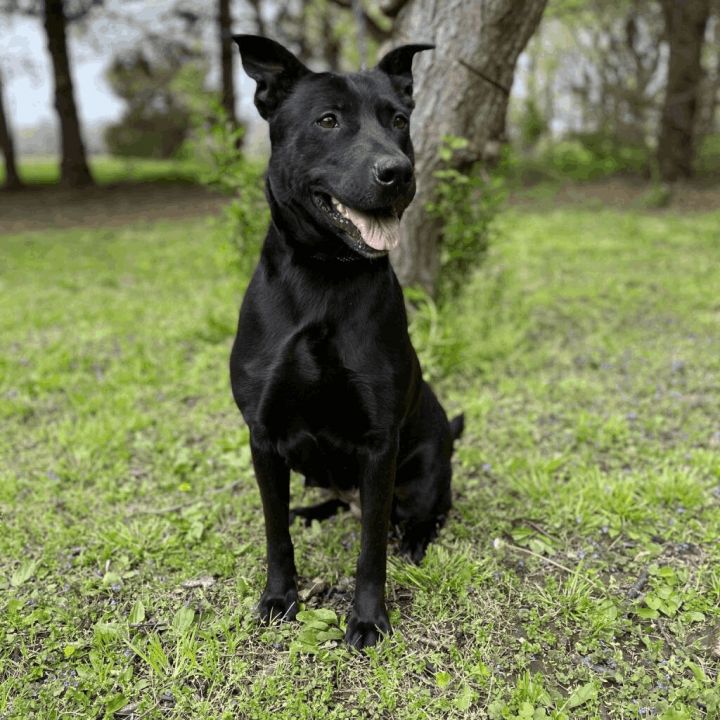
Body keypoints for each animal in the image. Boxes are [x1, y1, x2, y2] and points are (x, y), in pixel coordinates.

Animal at [232, 36, 466, 648]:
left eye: (400, 121)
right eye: (328, 120)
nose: (397, 172)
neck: (325, 277)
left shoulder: (379, 444)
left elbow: (369, 550)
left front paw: (367, 619)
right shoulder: (262, 435)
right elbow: (275, 534)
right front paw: (278, 598)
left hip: (423, 472)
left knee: (419, 515)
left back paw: (412, 541)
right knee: (327, 505)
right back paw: (310, 512)